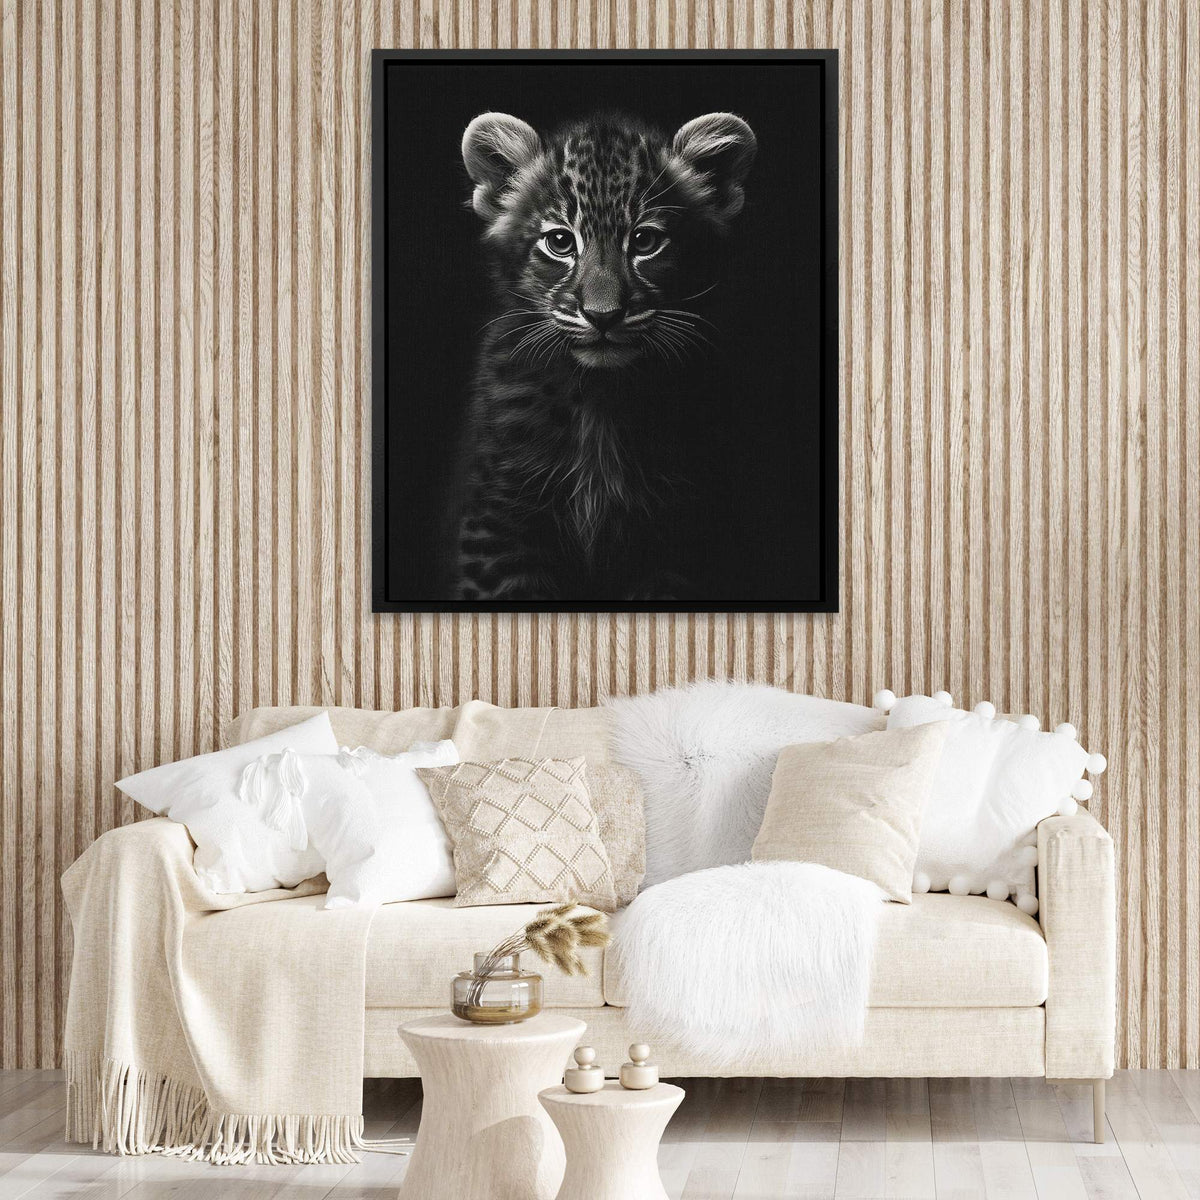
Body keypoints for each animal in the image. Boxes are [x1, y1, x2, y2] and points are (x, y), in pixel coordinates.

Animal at [451, 108, 756, 603]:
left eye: (646, 241)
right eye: (560, 242)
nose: (603, 316)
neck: (600, 397)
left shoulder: (676, 532)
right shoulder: (501, 521)